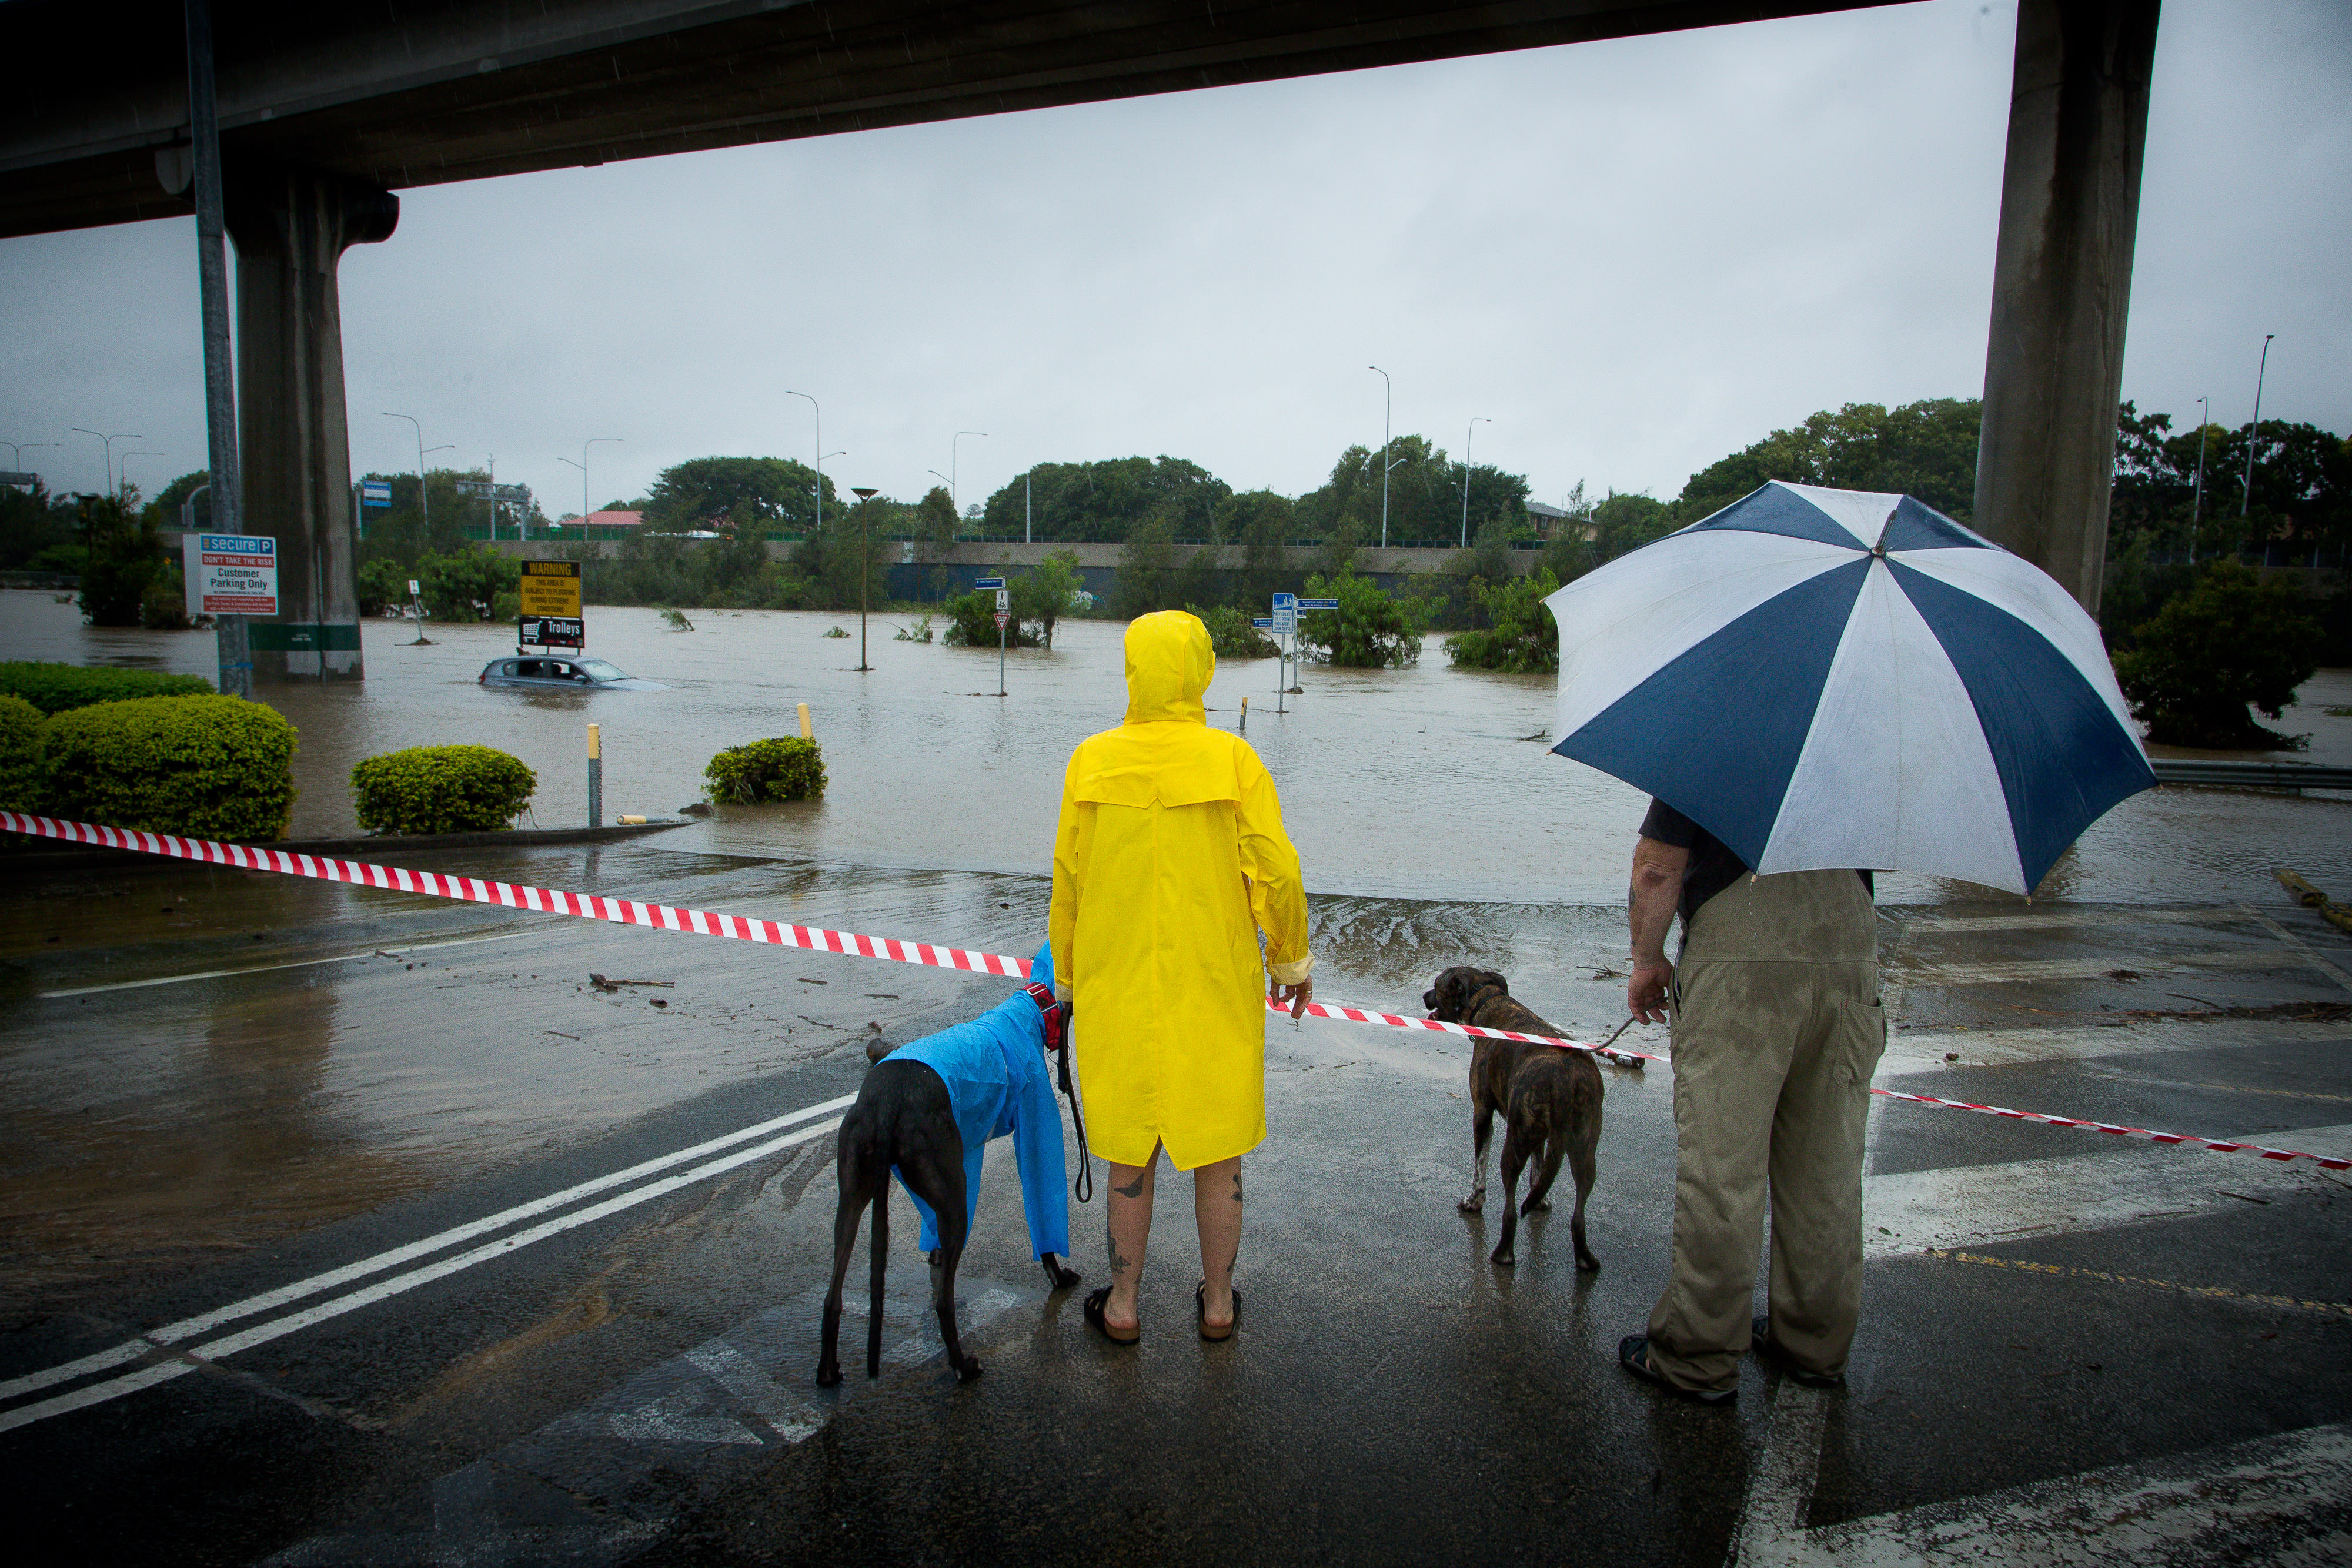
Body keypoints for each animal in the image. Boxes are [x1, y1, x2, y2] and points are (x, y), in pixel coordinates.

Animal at [818, 945, 1082, 1382]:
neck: (1027, 1009)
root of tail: (887, 1100)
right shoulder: (1034, 1123)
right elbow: (1044, 1214)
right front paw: (1059, 1276)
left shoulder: (968, 1154)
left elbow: (936, 1246)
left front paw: (936, 1254)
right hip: (952, 1200)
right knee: (943, 1301)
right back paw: (962, 1365)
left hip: (855, 1199)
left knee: (832, 1294)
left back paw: (827, 1371)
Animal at [1421, 959, 1609, 1279]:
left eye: (1437, 985)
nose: (1424, 996)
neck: (1486, 1000)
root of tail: (1565, 1080)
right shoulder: (1540, 1137)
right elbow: (1540, 1171)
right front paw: (1540, 1200)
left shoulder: (1482, 1114)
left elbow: (1479, 1168)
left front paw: (1474, 1202)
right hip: (1584, 1154)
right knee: (1578, 1214)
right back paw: (1585, 1259)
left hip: (1514, 1146)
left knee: (1510, 1209)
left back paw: (1503, 1253)